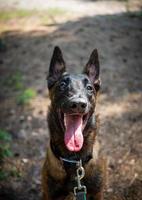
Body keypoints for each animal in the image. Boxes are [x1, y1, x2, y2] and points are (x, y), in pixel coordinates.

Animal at [41, 46, 106, 199]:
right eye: (62, 85)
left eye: (89, 88)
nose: (78, 104)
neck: (74, 160)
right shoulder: (49, 194)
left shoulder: (97, 193)